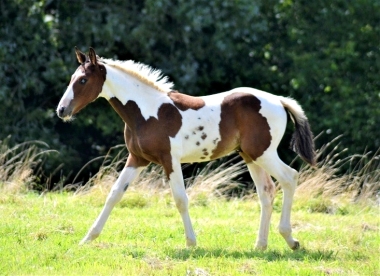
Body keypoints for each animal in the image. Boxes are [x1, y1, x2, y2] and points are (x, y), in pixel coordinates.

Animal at [57, 47, 318, 250]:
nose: (61, 110)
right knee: (266, 191)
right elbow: (114, 194)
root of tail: (279, 100)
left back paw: (290, 239)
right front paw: (87, 238)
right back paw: (261, 245)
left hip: (264, 153)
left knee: (290, 177)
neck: (146, 111)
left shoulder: (169, 160)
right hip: (250, 156)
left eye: (83, 80)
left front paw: (191, 242)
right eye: (72, 78)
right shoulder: (137, 159)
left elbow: (180, 199)